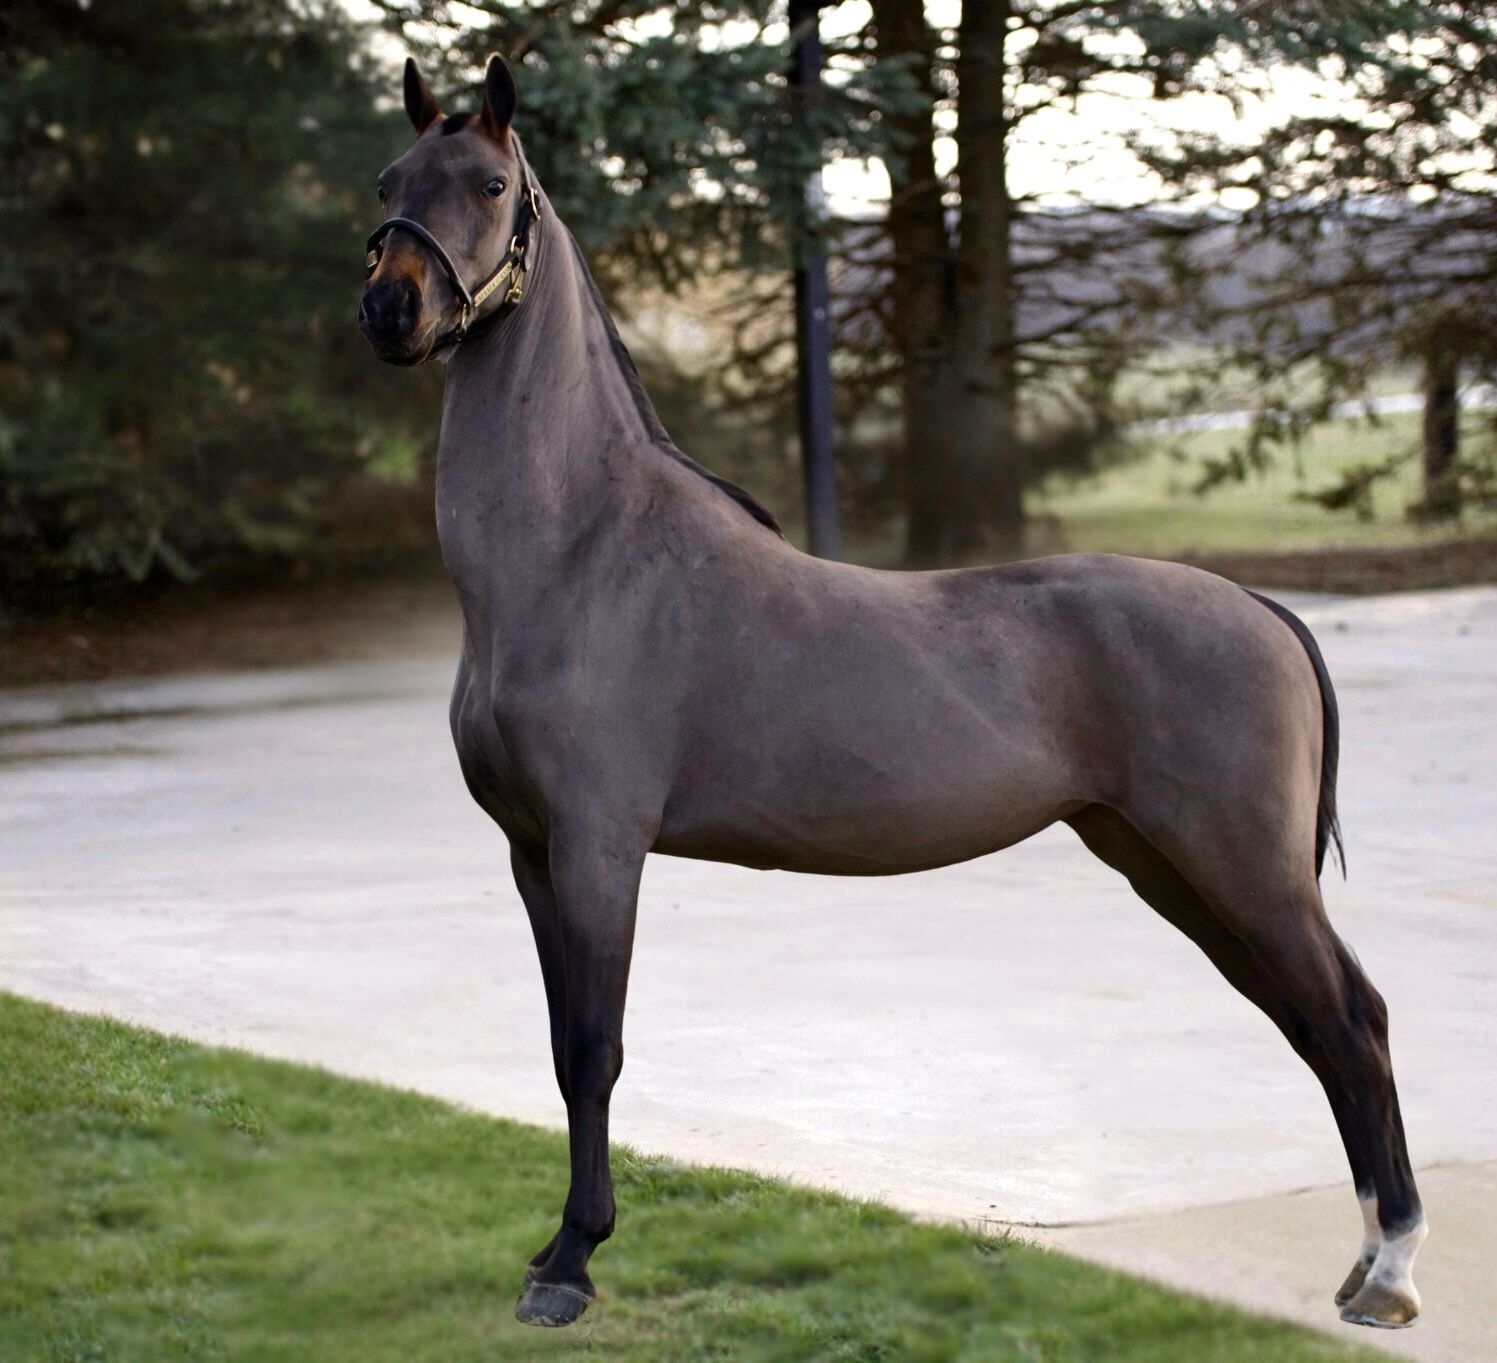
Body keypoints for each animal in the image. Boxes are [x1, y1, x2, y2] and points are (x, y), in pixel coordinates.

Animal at [359, 53, 1427, 1332]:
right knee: (1316, 1025)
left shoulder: (598, 848)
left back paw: (1391, 1272)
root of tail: (1265, 611)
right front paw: (555, 1250)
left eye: (486, 183)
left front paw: (572, 1262)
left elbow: (595, 1050)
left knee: (1355, 1019)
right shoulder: (531, 852)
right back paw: (1365, 1267)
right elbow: (565, 1047)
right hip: (1173, 865)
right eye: (388, 179)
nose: (393, 307)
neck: (578, 549)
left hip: (1243, 868)